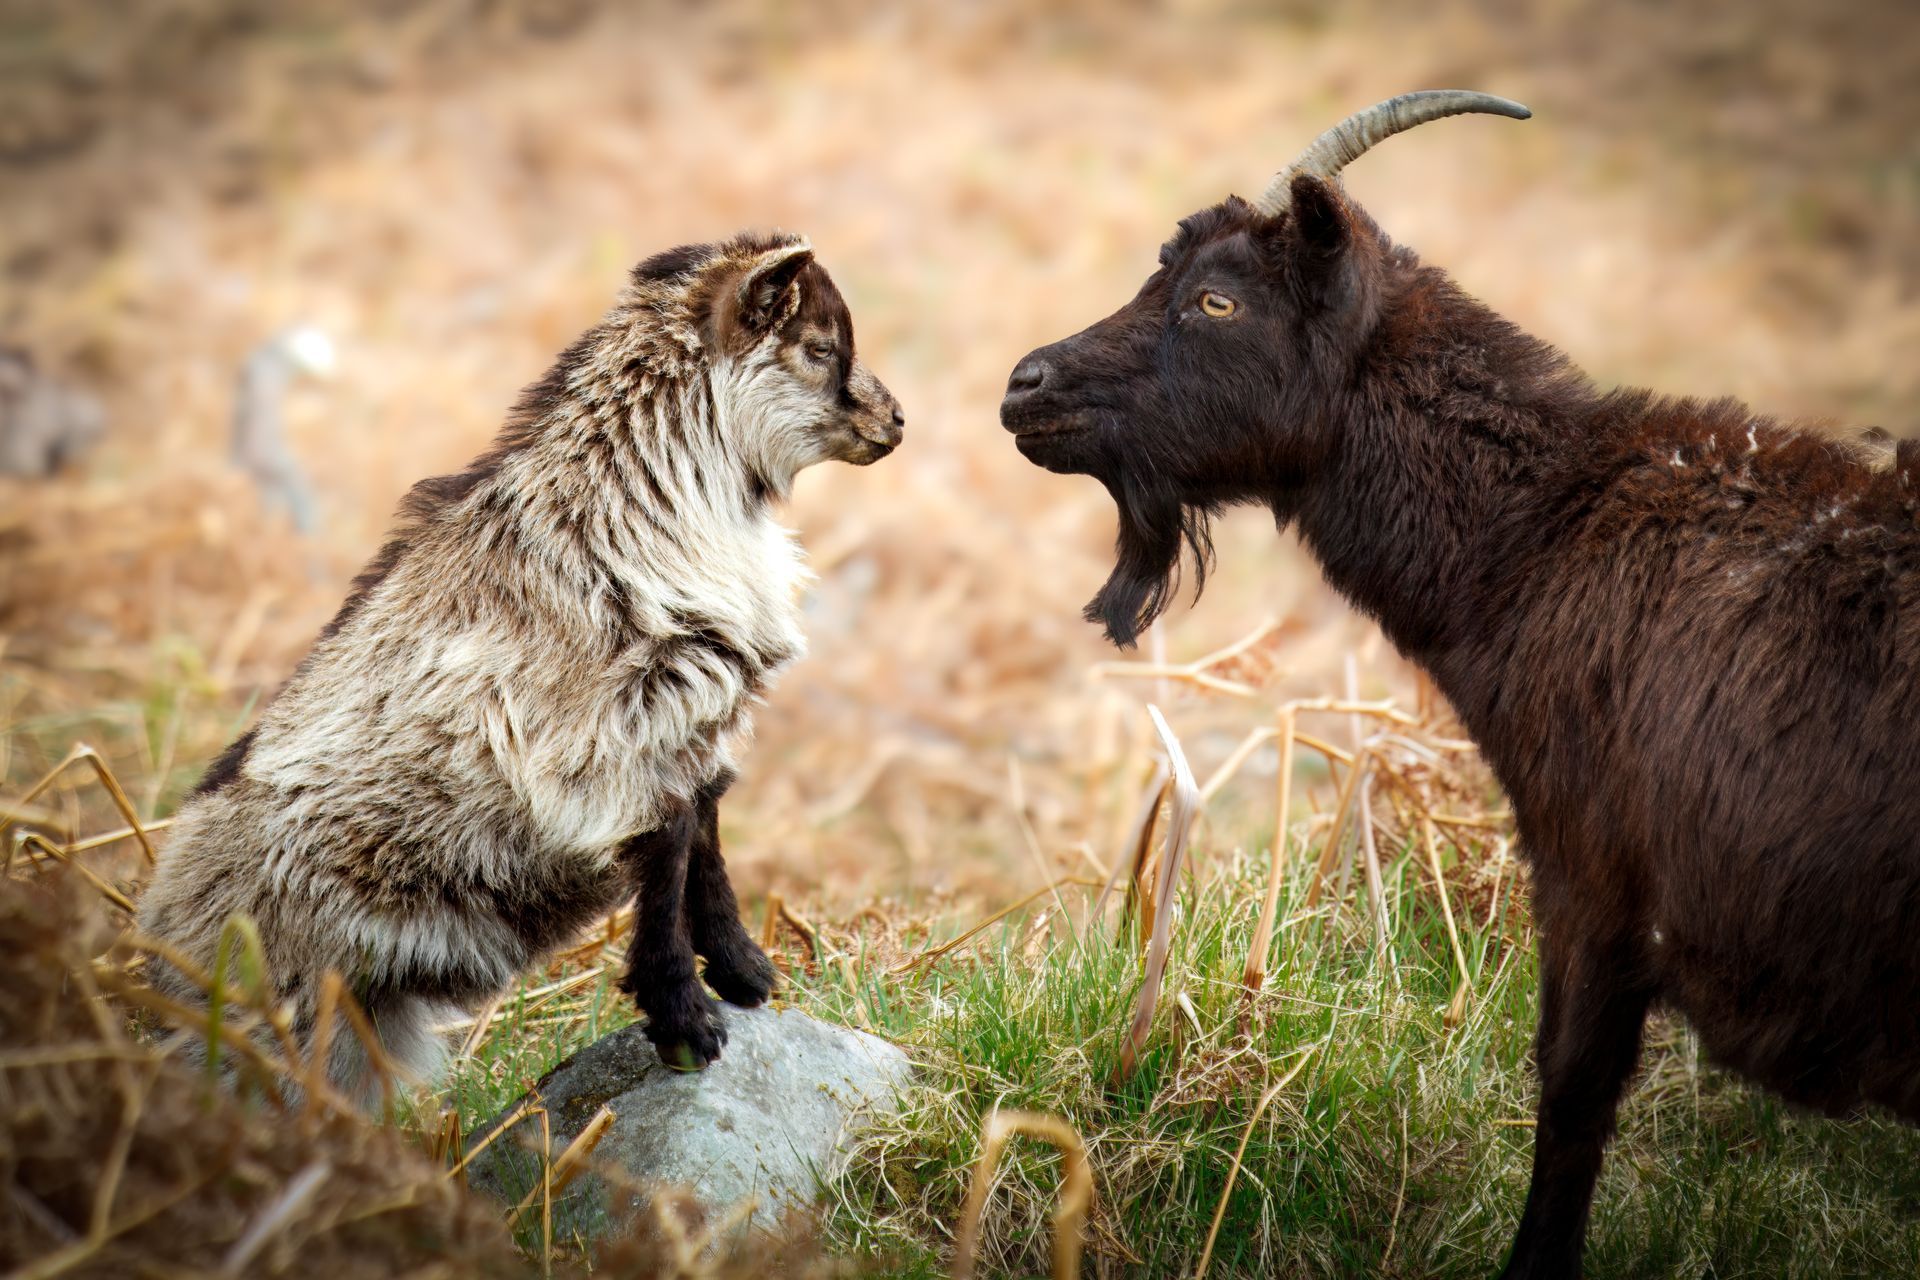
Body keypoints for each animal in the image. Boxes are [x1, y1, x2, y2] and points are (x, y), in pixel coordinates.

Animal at [139, 231, 904, 1090]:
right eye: (820, 347)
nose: (896, 420)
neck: (641, 505)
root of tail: (155, 940)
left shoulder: (690, 725)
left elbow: (703, 832)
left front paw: (742, 974)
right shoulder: (611, 742)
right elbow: (671, 847)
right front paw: (684, 1019)